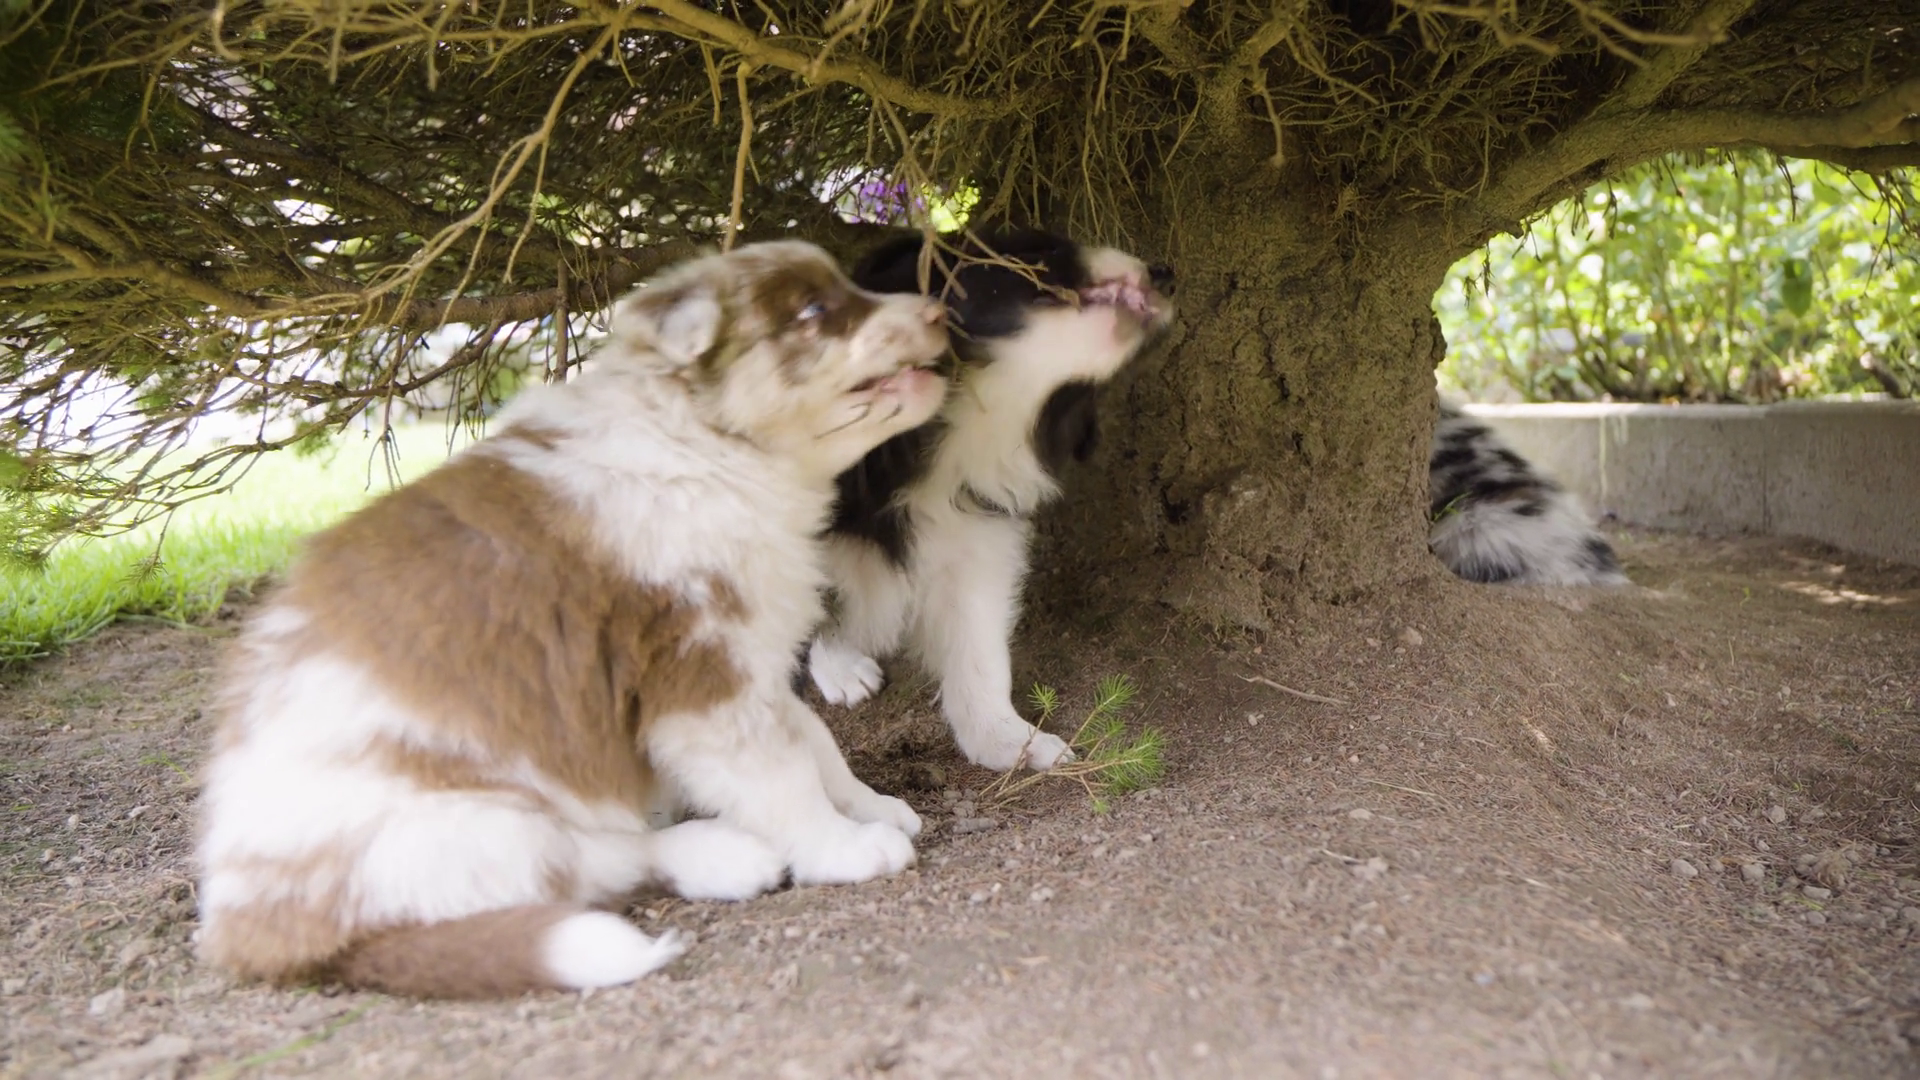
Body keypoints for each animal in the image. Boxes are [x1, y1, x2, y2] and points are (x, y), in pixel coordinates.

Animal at [195, 241, 949, 998]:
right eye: (814, 310)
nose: (941, 311)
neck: (704, 448)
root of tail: (253, 928)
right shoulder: (700, 680)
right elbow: (781, 776)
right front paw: (846, 848)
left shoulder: (748, 655)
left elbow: (815, 743)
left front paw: (872, 805)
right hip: (468, 822)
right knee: (581, 868)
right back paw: (723, 856)